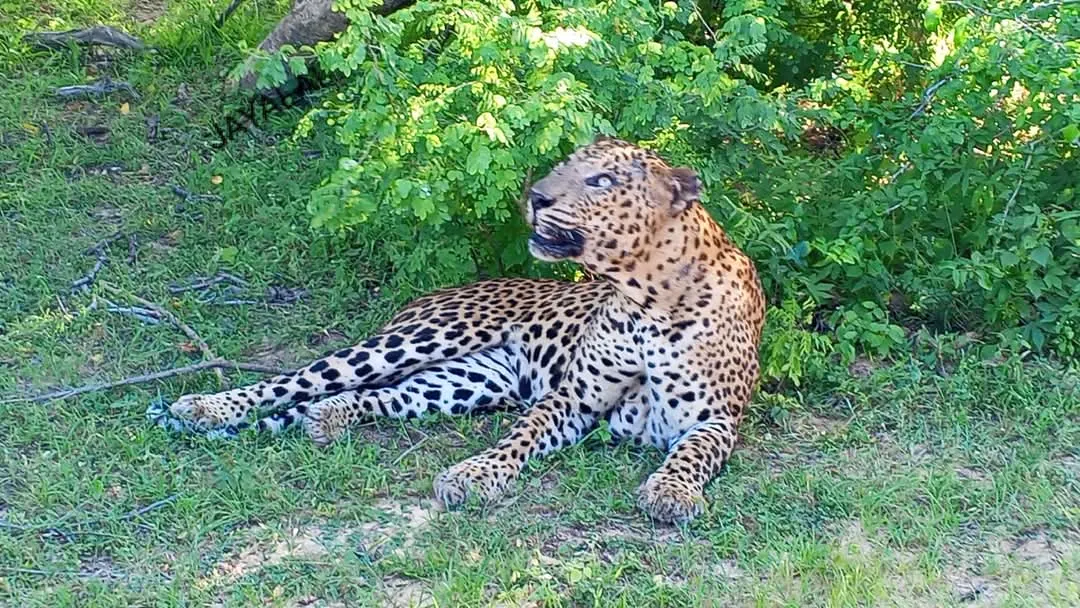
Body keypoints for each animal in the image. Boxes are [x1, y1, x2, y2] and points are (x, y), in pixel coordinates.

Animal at [168, 136, 766, 524]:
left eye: (602, 181)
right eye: (564, 166)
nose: (536, 196)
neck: (644, 298)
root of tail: (427, 297)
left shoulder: (715, 419)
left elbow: (692, 455)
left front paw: (671, 491)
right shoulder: (571, 397)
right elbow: (519, 436)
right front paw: (475, 474)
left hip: (467, 381)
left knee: (378, 393)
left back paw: (329, 417)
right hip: (418, 339)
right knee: (296, 380)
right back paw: (203, 407)